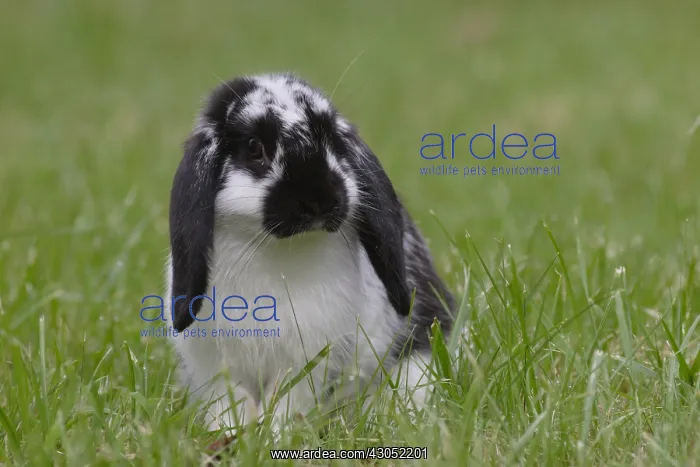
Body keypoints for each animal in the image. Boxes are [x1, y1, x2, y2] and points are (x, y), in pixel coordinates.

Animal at [164, 72, 454, 438]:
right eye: (254, 146)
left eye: (330, 139)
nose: (319, 198)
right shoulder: (216, 364)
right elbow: (231, 402)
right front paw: (229, 435)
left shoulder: (309, 359)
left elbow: (287, 401)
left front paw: (275, 436)